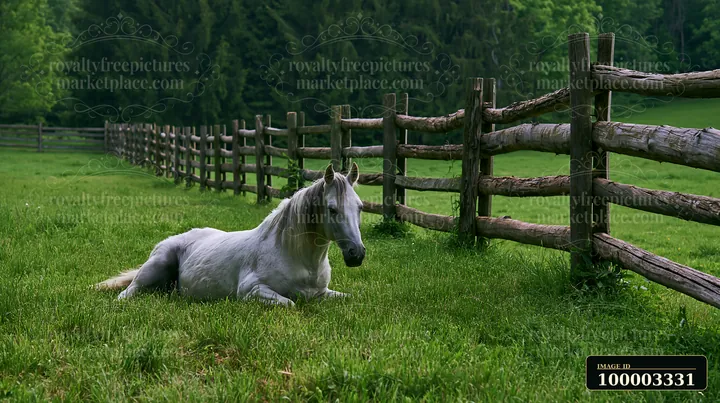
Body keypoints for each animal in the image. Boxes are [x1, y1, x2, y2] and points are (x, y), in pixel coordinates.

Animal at [96, 163, 366, 306]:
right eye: (332, 209)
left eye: (360, 207)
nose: (357, 254)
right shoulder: (250, 291)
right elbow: (289, 302)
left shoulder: (322, 294)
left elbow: (350, 298)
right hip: (155, 267)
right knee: (127, 291)